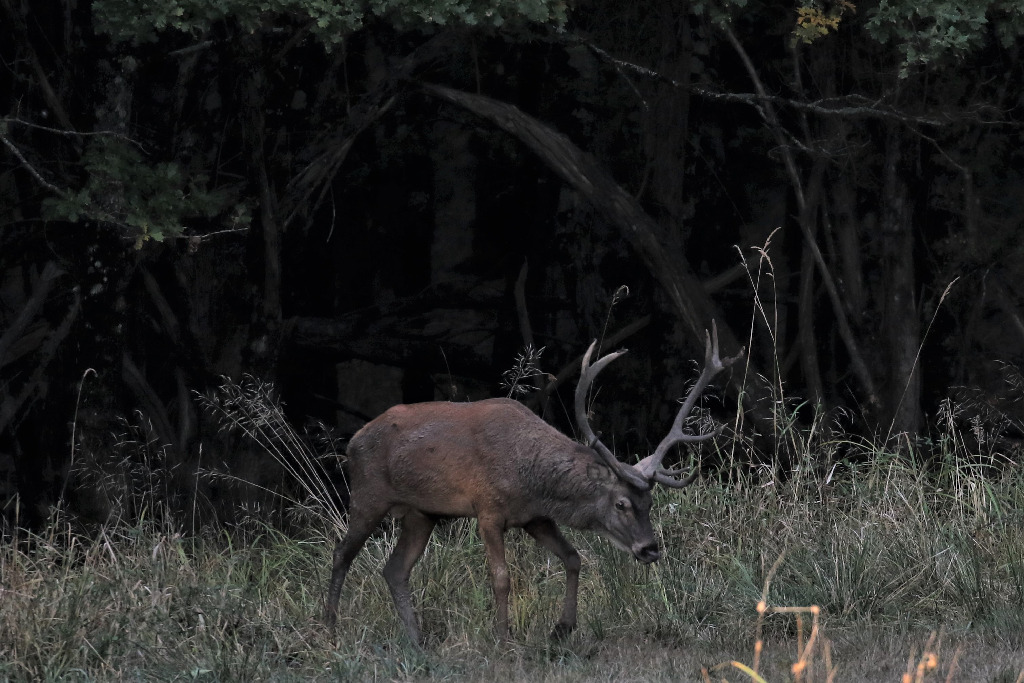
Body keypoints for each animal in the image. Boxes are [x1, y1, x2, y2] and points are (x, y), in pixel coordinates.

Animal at [323, 322, 743, 644]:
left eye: (651, 503)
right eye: (621, 503)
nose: (650, 549)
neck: (530, 476)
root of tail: (353, 442)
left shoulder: (535, 517)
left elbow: (573, 558)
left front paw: (563, 628)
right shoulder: (487, 510)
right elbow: (502, 577)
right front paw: (503, 638)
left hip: (421, 514)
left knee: (395, 569)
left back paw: (415, 639)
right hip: (368, 494)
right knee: (342, 553)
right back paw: (329, 630)